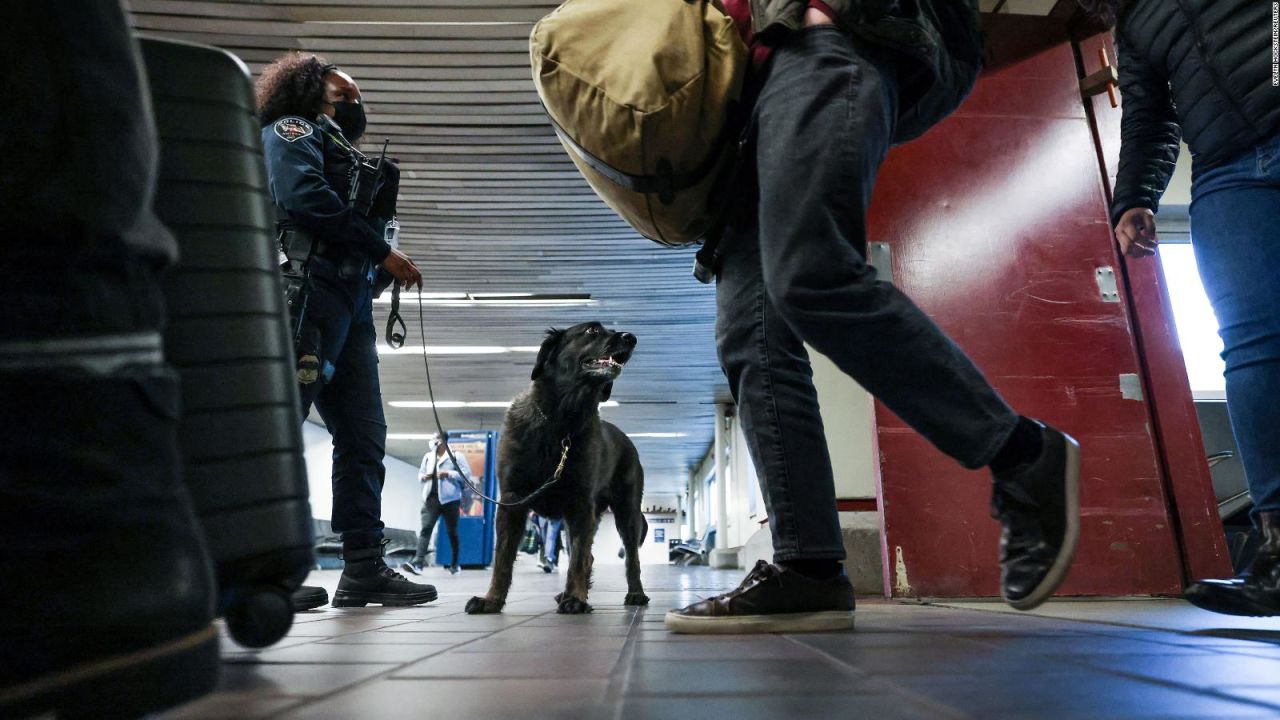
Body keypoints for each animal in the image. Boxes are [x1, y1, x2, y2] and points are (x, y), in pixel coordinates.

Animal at [465, 322, 650, 614]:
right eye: (592, 330)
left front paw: (575, 598)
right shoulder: (512, 500)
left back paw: (635, 594)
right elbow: (503, 558)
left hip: (626, 511)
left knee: (629, 556)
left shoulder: (581, 504)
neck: (561, 421)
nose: (631, 338)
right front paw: (492, 599)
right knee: (589, 555)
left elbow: (577, 559)